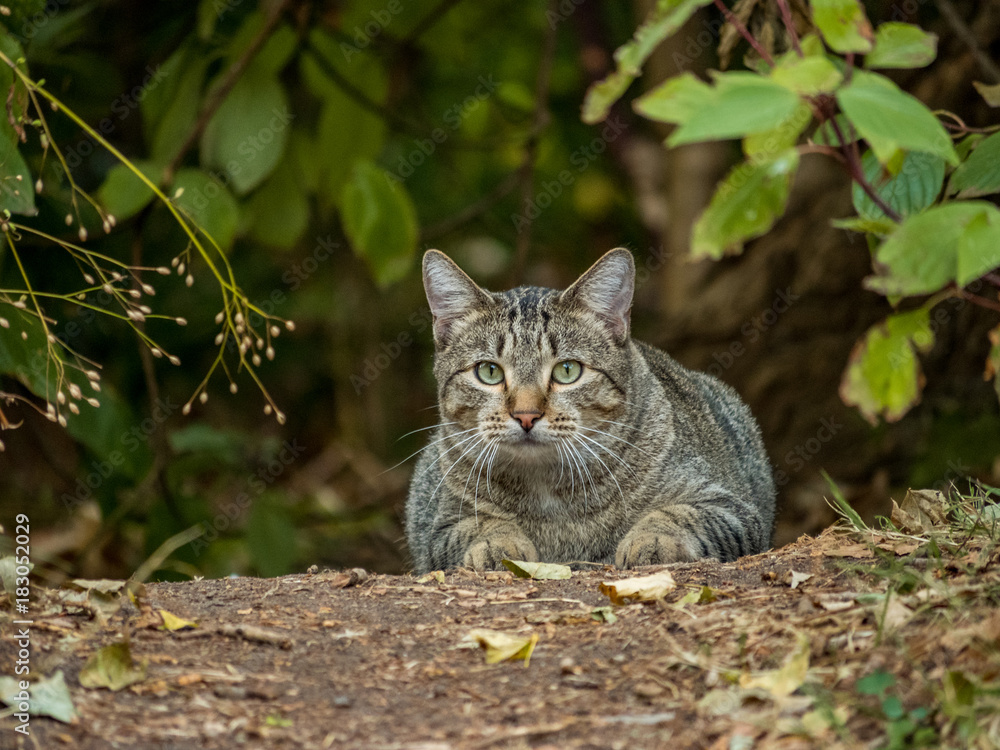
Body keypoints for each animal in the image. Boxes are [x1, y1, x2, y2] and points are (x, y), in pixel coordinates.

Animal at [402, 250, 776, 572]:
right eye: (489, 372)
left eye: (567, 370)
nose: (526, 415)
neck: (551, 496)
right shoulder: (435, 529)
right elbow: (481, 526)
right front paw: (498, 544)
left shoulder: (732, 507)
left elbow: (676, 515)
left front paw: (652, 539)